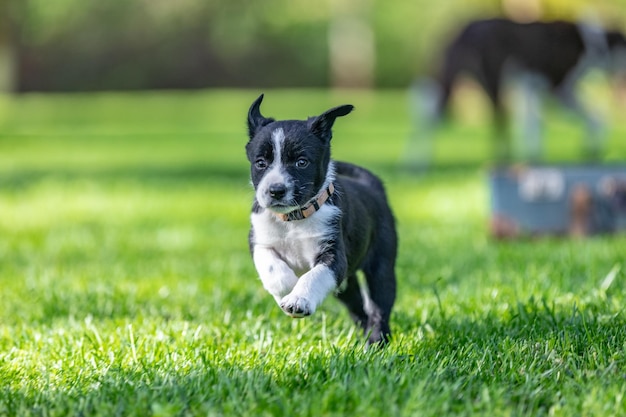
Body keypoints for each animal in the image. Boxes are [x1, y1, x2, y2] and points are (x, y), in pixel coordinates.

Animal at [244, 94, 394, 344]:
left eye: (302, 162)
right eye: (260, 163)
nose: (275, 190)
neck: (293, 219)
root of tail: (370, 184)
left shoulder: (333, 254)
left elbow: (314, 276)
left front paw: (298, 299)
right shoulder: (259, 240)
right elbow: (272, 267)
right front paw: (288, 288)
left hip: (381, 264)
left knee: (379, 306)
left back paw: (376, 341)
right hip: (347, 285)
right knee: (357, 306)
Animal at [412, 18, 624, 161]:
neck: (593, 43)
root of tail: (464, 29)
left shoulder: (533, 89)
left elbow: (535, 126)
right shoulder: (557, 90)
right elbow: (593, 117)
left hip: (455, 83)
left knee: (426, 119)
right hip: (490, 82)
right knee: (498, 123)